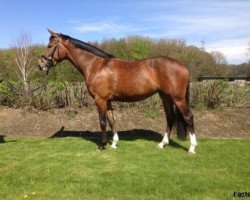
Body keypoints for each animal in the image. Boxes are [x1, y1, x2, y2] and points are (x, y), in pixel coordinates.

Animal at [37, 29, 197, 154]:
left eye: (50, 45)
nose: (40, 64)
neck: (96, 66)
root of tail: (183, 66)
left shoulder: (100, 99)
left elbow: (102, 122)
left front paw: (102, 145)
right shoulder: (107, 101)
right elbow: (111, 120)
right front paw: (114, 143)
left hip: (178, 98)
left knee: (188, 117)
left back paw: (192, 148)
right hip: (165, 97)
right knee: (170, 118)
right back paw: (162, 144)